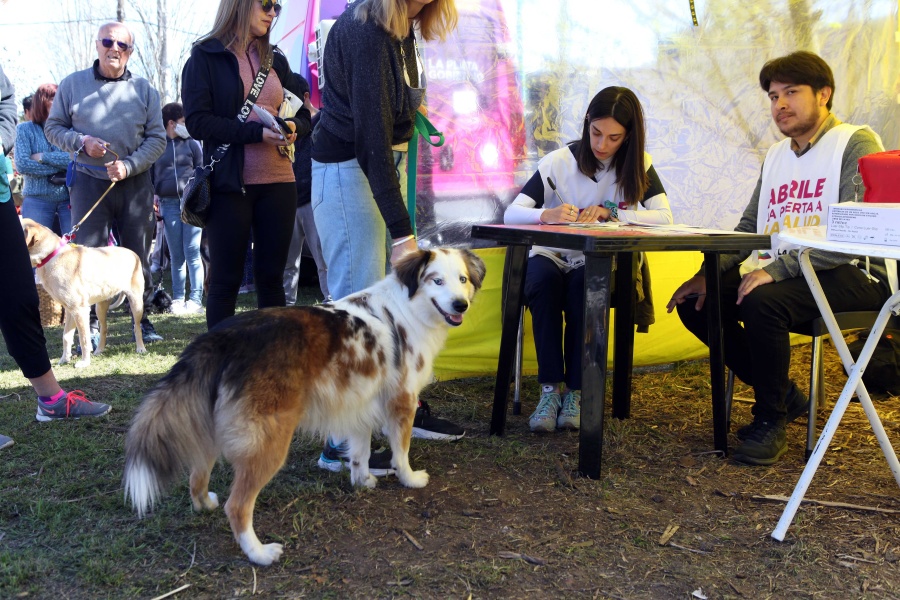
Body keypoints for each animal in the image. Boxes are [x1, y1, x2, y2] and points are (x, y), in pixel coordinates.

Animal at [22, 219, 147, 368]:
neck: (50, 256)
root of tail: (132, 253)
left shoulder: (79, 310)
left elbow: (84, 338)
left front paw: (84, 362)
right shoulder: (70, 310)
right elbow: (66, 336)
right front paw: (64, 359)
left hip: (136, 303)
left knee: (137, 327)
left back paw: (141, 348)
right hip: (100, 307)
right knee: (104, 328)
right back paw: (99, 350)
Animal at [123, 248, 486, 565]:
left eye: (463, 279)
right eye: (436, 280)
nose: (461, 304)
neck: (409, 308)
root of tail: (223, 338)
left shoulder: (359, 401)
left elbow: (360, 451)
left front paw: (363, 480)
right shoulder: (402, 401)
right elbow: (402, 449)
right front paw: (409, 478)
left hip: (214, 431)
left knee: (197, 476)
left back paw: (205, 503)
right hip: (270, 440)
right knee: (237, 506)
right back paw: (258, 553)